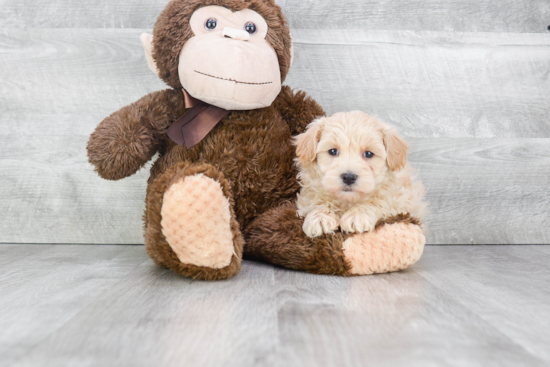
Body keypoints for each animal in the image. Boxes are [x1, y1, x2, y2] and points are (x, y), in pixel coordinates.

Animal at [296, 111, 430, 239]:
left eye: (369, 154)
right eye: (333, 151)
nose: (349, 177)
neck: (347, 201)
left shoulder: (399, 201)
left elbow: (377, 202)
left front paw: (357, 216)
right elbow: (316, 200)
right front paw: (319, 217)